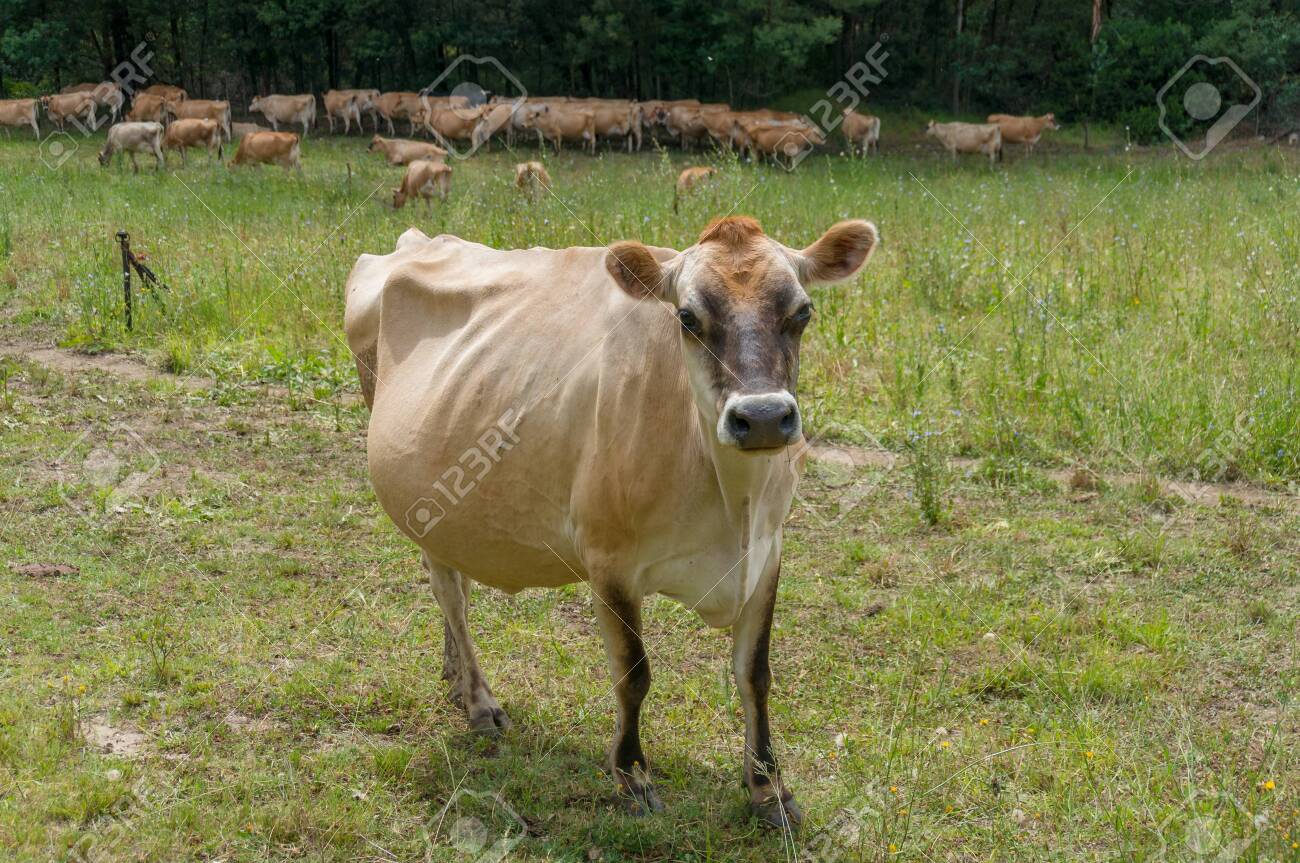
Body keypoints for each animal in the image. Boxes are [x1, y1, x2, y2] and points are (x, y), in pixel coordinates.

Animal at [343, 214, 879, 828]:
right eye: (687, 317)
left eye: (803, 311)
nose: (763, 416)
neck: (732, 502)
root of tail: (420, 240)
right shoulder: (610, 561)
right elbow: (633, 673)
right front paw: (632, 777)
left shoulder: (768, 553)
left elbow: (755, 674)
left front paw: (769, 789)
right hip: (421, 495)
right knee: (449, 591)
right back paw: (479, 701)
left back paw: (456, 678)